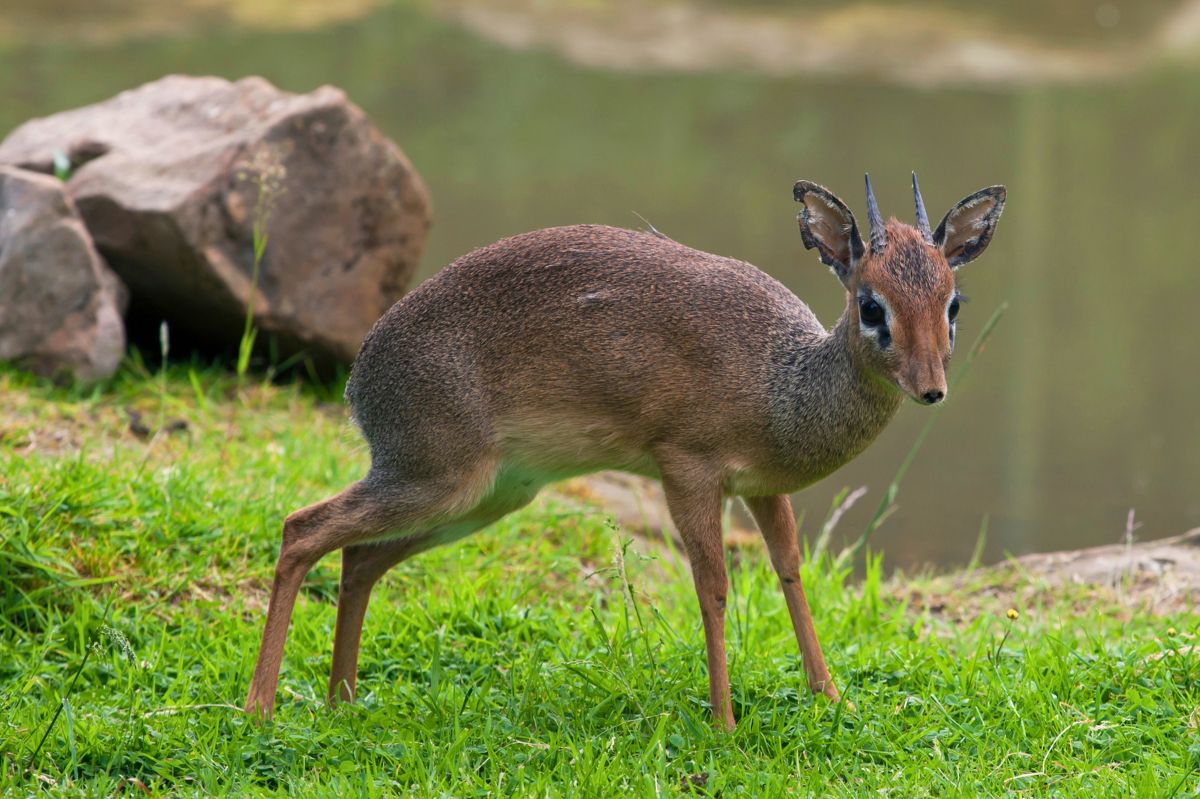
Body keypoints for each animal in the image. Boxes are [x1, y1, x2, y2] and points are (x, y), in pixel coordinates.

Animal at [243, 171, 1003, 724]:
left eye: (952, 302)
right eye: (872, 305)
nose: (931, 388)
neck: (781, 381)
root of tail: (360, 374)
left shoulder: (763, 487)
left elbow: (790, 571)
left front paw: (831, 697)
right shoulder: (687, 470)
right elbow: (713, 587)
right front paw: (725, 721)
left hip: (481, 497)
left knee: (358, 557)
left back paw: (341, 699)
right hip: (436, 481)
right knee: (301, 527)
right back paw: (260, 709)